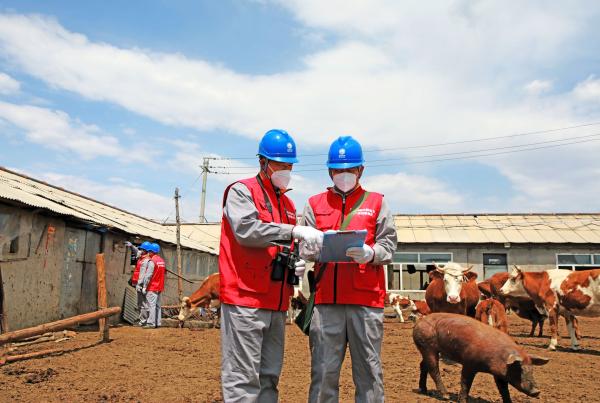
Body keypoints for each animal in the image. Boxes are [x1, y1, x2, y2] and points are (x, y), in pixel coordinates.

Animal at [412, 312, 548, 403]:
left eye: (531, 369)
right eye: (519, 369)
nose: (537, 391)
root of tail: (419, 321)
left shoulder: (499, 373)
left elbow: (503, 389)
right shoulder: (469, 363)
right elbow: (465, 383)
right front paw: (462, 401)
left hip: (426, 349)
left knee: (423, 365)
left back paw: (423, 390)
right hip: (428, 346)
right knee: (433, 369)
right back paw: (445, 396)